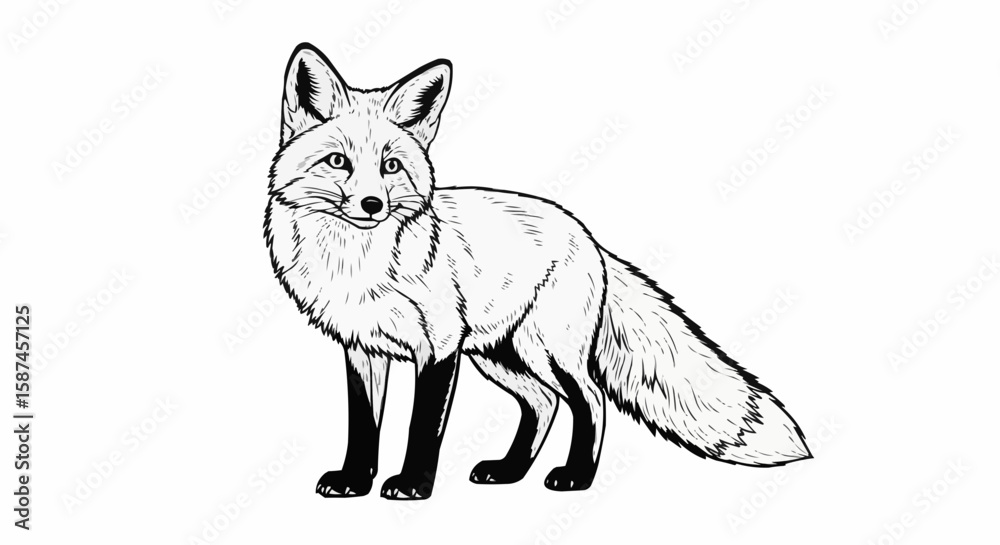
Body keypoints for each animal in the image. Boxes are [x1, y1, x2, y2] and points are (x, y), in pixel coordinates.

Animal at [264, 43, 811, 500]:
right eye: (338, 161)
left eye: (391, 166)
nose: (373, 205)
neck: (356, 264)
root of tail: (588, 237)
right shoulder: (362, 349)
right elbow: (363, 427)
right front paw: (355, 481)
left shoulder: (439, 349)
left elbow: (423, 428)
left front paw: (414, 486)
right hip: (501, 354)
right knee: (544, 403)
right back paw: (510, 471)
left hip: (546, 350)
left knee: (591, 401)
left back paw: (576, 477)